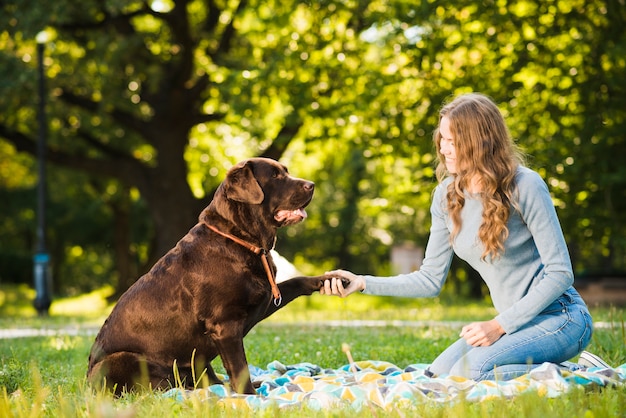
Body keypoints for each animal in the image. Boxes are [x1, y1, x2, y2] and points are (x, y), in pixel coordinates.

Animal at [89, 157, 332, 396]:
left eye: (286, 171)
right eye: (274, 176)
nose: (312, 185)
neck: (242, 240)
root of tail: (87, 383)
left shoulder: (262, 300)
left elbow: (294, 282)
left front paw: (324, 280)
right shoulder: (225, 323)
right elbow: (239, 366)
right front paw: (249, 396)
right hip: (117, 361)